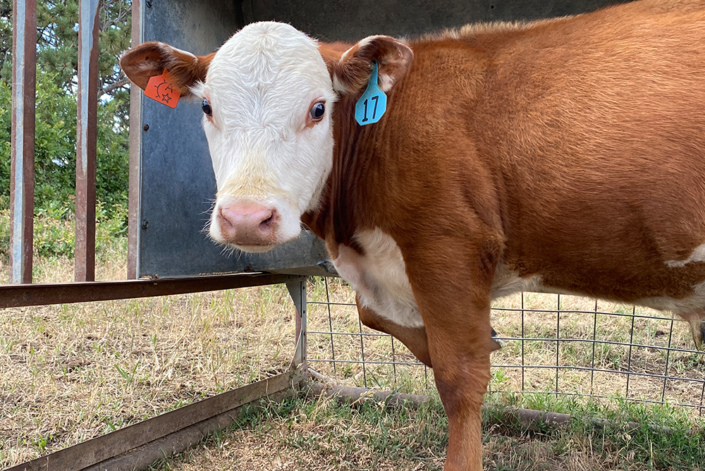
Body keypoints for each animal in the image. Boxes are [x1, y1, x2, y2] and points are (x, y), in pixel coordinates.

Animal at [120, 1, 705, 468]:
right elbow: (371, 314)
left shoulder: (447, 247)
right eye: (206, 107)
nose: (246, 217)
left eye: (318, 108)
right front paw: (481, 337)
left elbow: (459, 376)